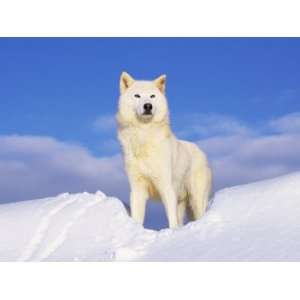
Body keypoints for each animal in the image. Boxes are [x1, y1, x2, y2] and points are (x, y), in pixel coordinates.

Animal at [116, 72, 212, 227]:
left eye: (152, 96)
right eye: (137, 96)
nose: (148, 106)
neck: (144, 136)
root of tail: (200, 150)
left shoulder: (167, 187)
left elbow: (171, 220)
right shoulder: (137, 189)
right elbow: (137, 218)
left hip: (196, 200)